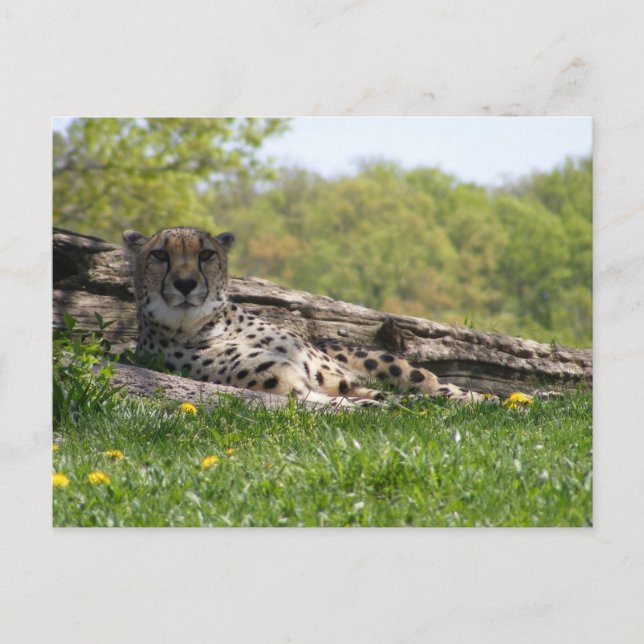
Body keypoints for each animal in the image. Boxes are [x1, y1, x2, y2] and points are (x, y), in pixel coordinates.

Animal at [123, 226, 497, 409]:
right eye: (160, 255)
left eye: (205, 254)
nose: (185, 284)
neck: (211, 324)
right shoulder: (296, 388)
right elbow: (362, 401)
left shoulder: (332, 378)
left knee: (438, 383)